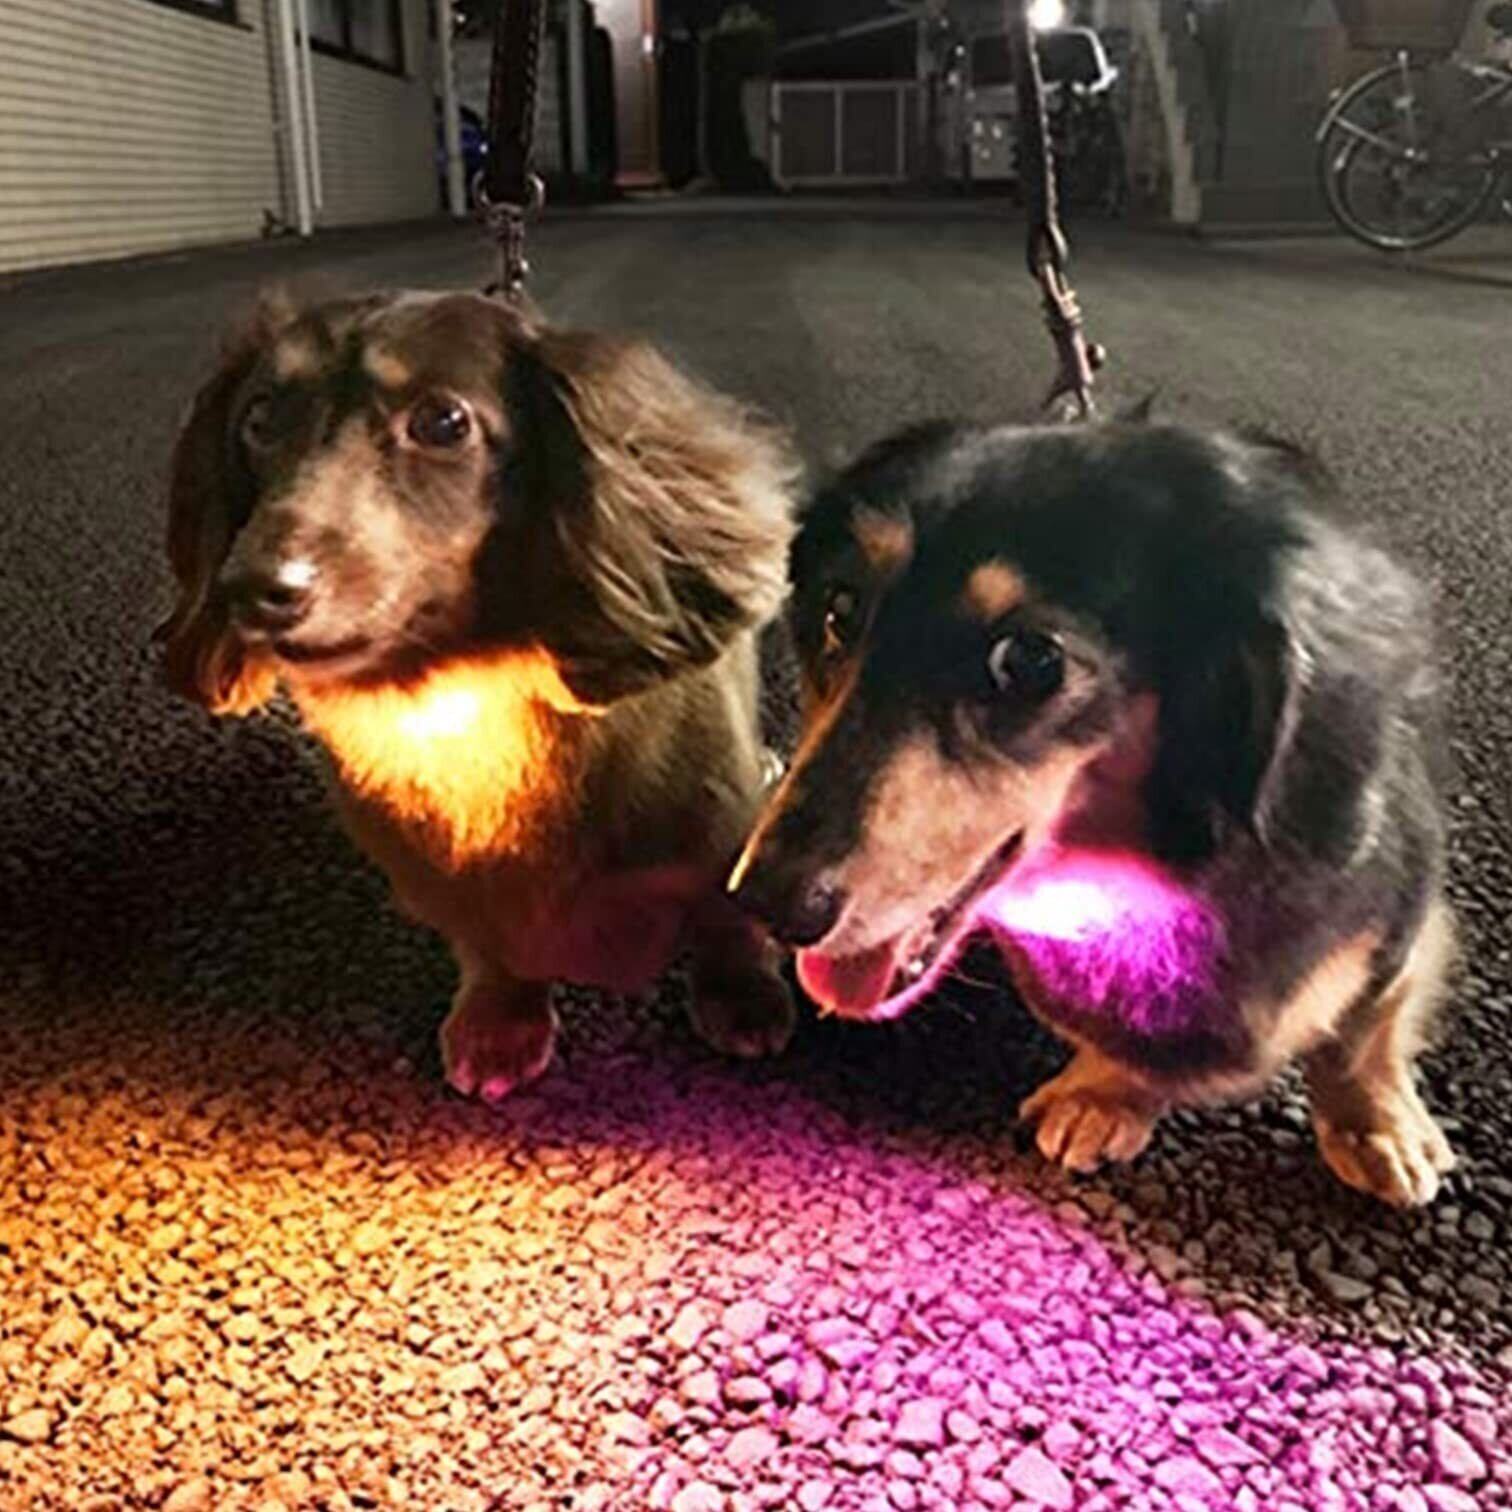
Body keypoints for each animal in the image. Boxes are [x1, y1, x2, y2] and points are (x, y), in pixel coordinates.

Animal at [158, 288, 798, 1100]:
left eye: (443, 422)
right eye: (260, 417)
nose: (253, 589)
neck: (460, 688)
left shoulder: (718, 819)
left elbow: (725, 914)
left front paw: (742, 993)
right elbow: (490, 943)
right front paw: (500, 1020)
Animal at [732, 418, 1457, 1206]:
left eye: (1029, 660)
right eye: (840, 612)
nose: (766, 902)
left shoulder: (1394, 906)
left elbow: (1365, 1024)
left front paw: (1375, 1124)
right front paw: (1107, 1094)